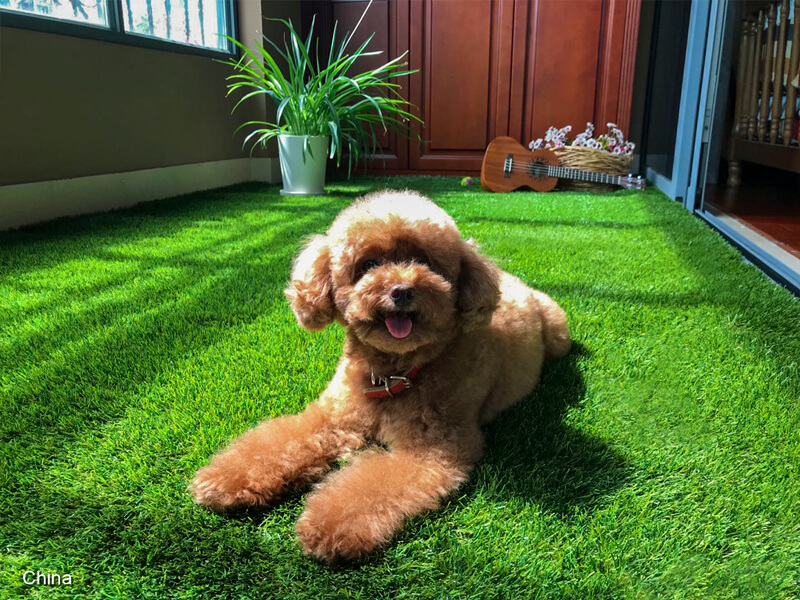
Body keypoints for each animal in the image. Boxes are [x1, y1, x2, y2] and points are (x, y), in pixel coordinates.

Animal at [191, 191, 572, 564]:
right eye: (369, 265)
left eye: (425, 262)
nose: (402, 290)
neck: (393, 374)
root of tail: (510, 279)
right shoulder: (333, 416)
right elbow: (277, 444)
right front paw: (224, 479)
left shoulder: (432, 448)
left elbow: (370, 486)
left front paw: (327, 525)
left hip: (558, 334)